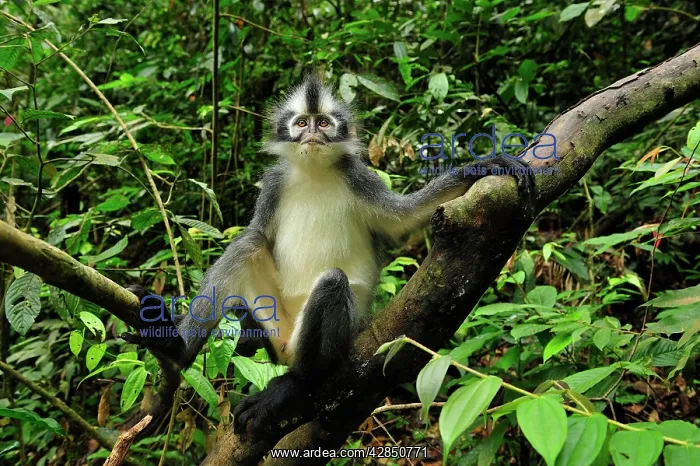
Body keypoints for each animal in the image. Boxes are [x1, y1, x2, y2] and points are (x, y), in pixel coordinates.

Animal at [122, 73, 534, 441]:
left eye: (323, 123)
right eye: (301, 123)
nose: (312, 135)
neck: (315, 172)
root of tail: (285, 347)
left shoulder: (360, 179)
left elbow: (409, 215)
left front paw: (486, 166)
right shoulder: (273, 186)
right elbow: (255, 235)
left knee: (332, 284)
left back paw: (296, 384)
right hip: (274, 319)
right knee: (247, 245)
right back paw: (175, 347)